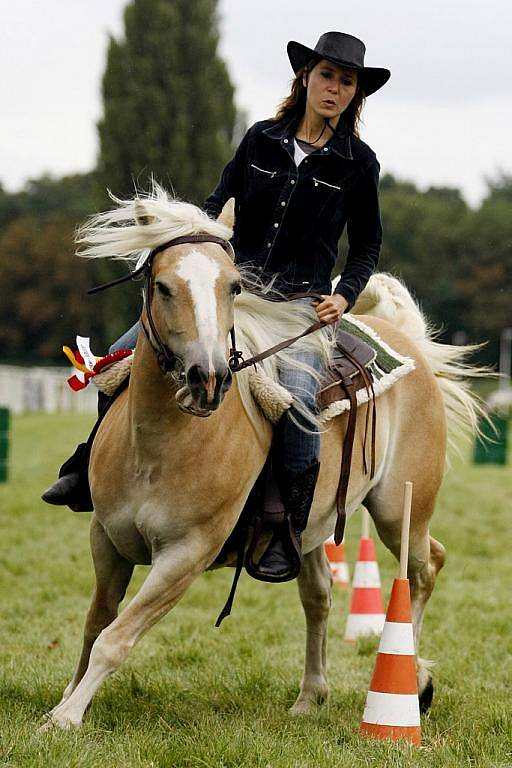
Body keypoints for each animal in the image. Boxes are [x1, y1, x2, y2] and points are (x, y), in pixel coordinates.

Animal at [42, 189, 482, 728]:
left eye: (233, 286)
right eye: (163, 287)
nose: (207, 377)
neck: (157, 448)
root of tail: (406, 342)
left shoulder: (185, 556)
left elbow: (116, 637)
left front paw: (65, 718)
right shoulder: (106, 538)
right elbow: (95, 623)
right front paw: (69, 697)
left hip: (401, 511)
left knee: (424, 567)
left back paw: (414, 683)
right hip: (309, 527)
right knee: (319, 594)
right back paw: (310, 696)